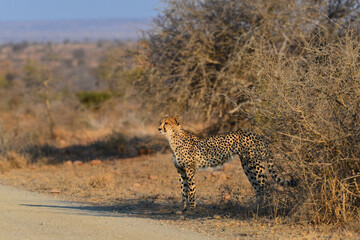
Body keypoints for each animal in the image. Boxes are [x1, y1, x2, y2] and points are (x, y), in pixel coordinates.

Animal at [158, 114, 296, 212]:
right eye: (160, 122)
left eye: (166, 123)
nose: (159, 128)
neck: (173, 138)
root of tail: (258, 134)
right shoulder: (181, 171)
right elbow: (183, 190)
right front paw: (183, 209)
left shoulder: (190, 169)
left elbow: (191, 190)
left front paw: (191, 209)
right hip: (248, 167)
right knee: (258, 188)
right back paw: (258, 207)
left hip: (255, 165)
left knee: (265, 186)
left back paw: (266, 207)